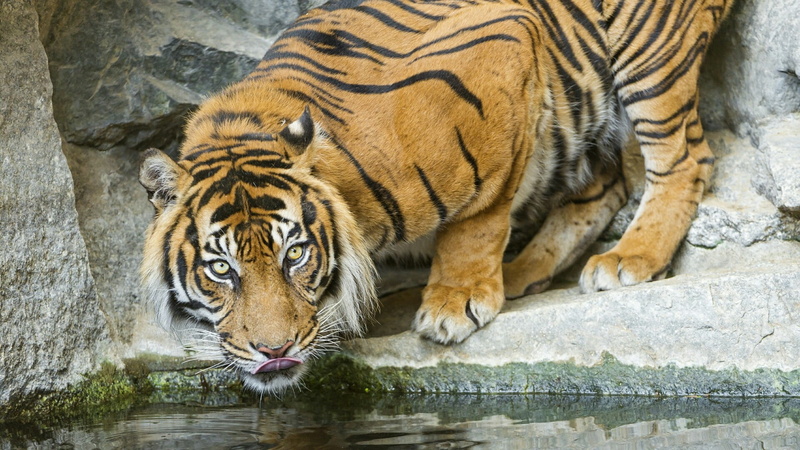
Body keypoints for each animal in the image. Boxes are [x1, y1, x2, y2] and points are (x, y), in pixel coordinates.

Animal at [140, 0, 732, 393]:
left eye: (296, 253)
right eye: (221, 269)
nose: (274, 351)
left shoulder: (504, 48)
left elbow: (479, 217)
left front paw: (454, 304)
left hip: (650, 57)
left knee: (686, 160)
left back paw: (630, 258)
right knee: (606, 185)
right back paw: (522, 272)